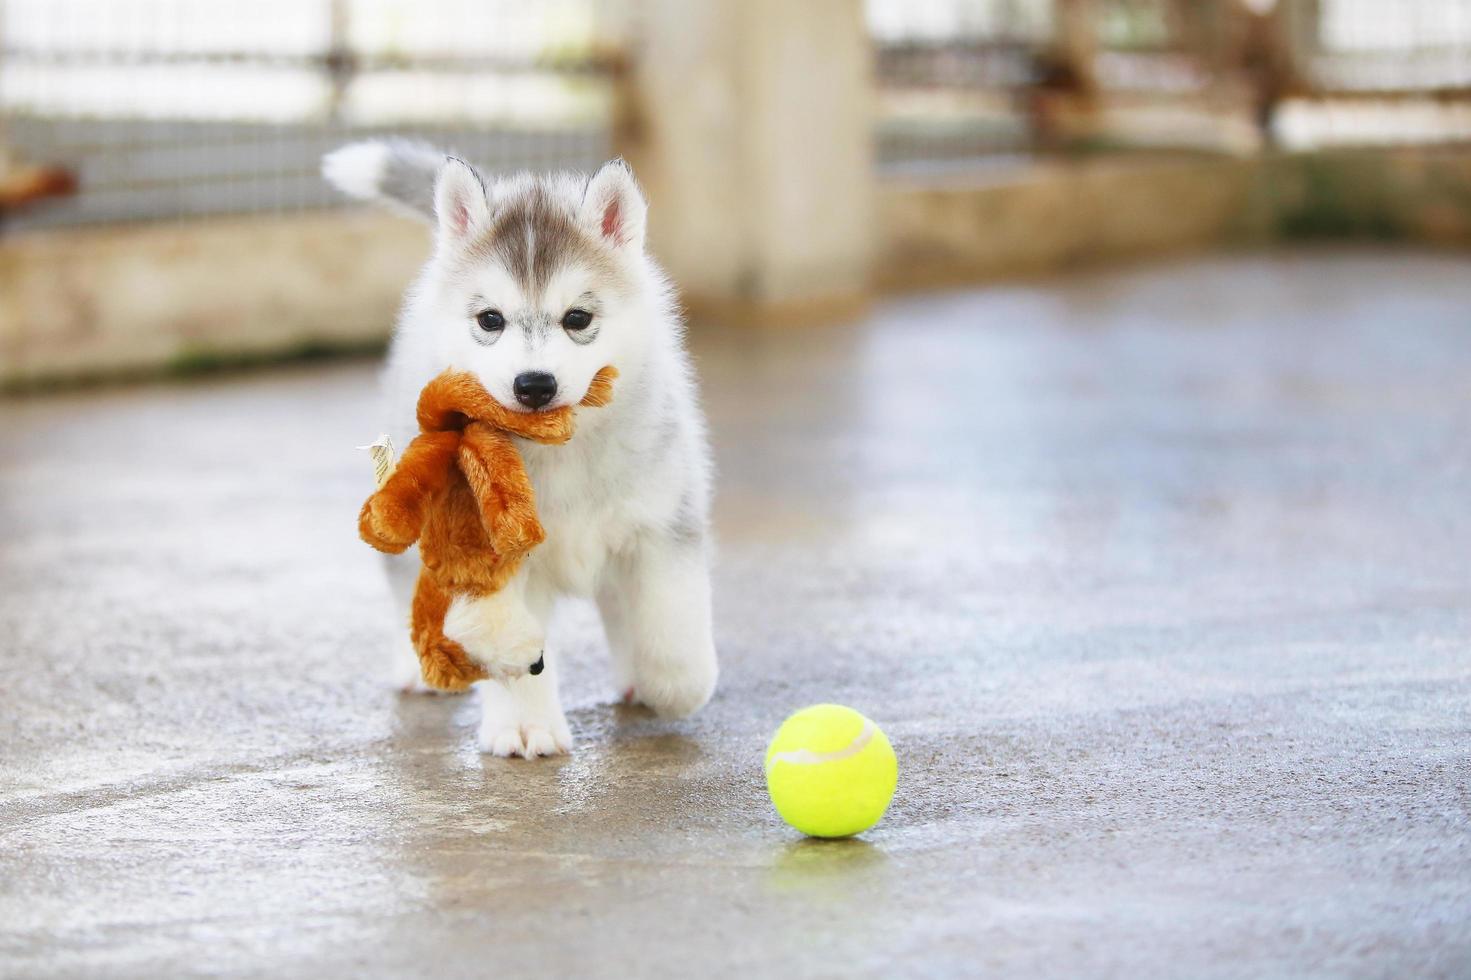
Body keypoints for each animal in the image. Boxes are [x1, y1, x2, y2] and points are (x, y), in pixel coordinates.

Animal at [325, 137, 714, 753]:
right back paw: (417, 669)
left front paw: (671, 684)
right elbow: (513, 650)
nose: (534, 385)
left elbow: (670, 628)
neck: (563, 446)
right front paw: (526, 725)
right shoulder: (496, 557)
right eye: (491, 319)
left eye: (578, 318)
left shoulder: (661, 526)